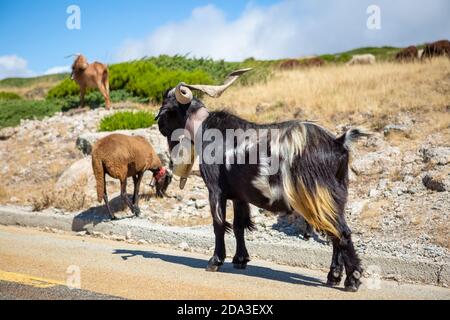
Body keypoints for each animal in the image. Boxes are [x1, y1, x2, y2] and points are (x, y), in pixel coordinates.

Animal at [156, 70, 368, 292]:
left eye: (168, 105)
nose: (158, 123)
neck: (205, 130)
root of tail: (338, 143)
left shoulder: (215, 190)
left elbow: (219, 224)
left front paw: (215, 261)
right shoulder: (239, 196)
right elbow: (239, 225)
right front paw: (240, 260)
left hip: (318, 193)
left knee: (341, 232)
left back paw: (352, 280)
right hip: (334, 195)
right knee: (334, 232)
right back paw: (333, 276)